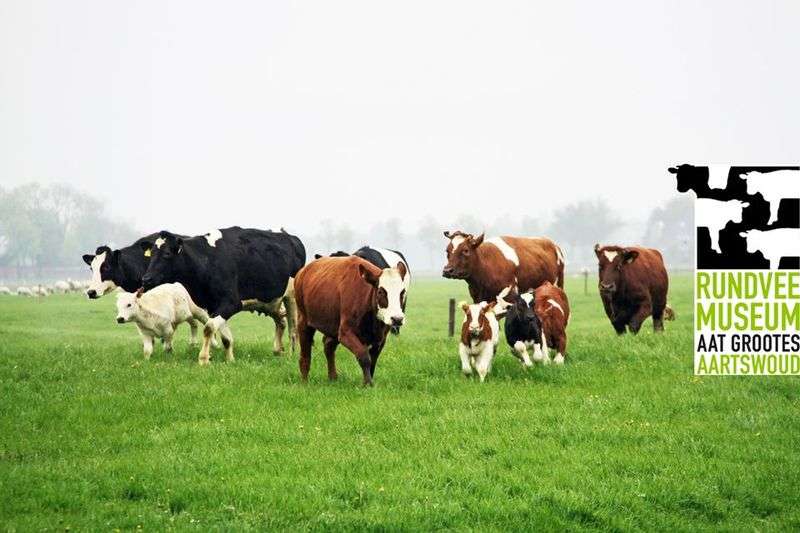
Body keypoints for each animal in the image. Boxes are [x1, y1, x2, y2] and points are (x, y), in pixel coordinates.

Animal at [140, 227, 306, 364]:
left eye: (167, 254)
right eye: (151, 254)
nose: (146, 279)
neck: (206, 260)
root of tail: (291, 237)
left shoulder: (231, 303)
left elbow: (209, 328)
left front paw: (204, 359)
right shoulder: (214, 306)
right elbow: (225, 337)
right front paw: (230, 360)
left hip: (291, 298)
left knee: (293, 329)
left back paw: (292, 355)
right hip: (271, 301)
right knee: (281, 321)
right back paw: (278, 350)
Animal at [294, 256, 408, 386]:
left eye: (402, 292)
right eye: (380, 291)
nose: (397, 319)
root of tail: (302, 272)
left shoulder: (380, 339)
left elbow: (373, 360)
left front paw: (369, 381)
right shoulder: (345, 333)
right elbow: (364, 356)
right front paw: (368, 383)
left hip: (333, 326)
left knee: (328, 346)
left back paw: (333, 377)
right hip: (303, 321)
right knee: (305, 355)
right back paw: (304, 381)